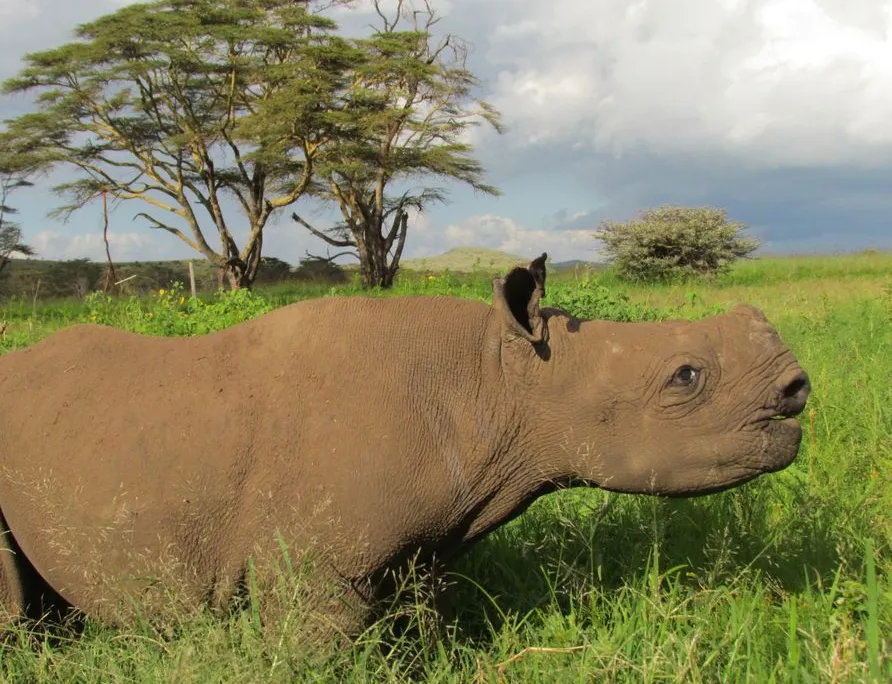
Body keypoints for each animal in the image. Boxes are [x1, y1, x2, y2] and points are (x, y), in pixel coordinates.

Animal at [0, 253, 810, 641]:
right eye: (686, 377)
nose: (798, 391)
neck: (496, 378)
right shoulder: (318, 563)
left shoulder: (426, 545)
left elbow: (422, 624)